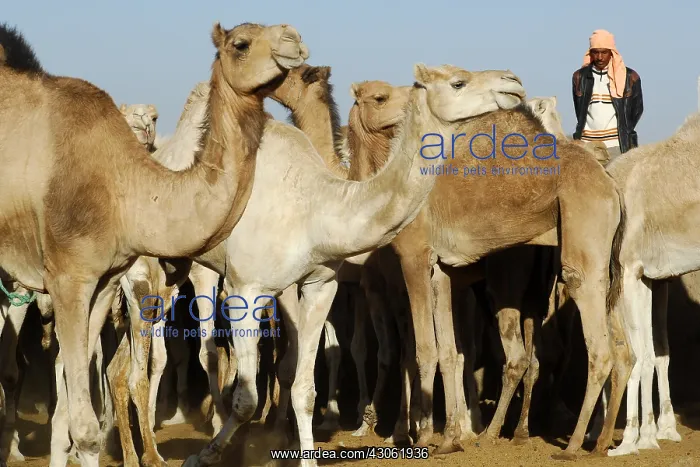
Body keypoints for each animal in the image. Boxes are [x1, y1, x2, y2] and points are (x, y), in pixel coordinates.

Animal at [0, 20, 308, 466]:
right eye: (241, 43)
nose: (294, 39)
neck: (124, 185)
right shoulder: (67, 278)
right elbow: (84, 421)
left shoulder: (105, 282)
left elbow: (82, 417)